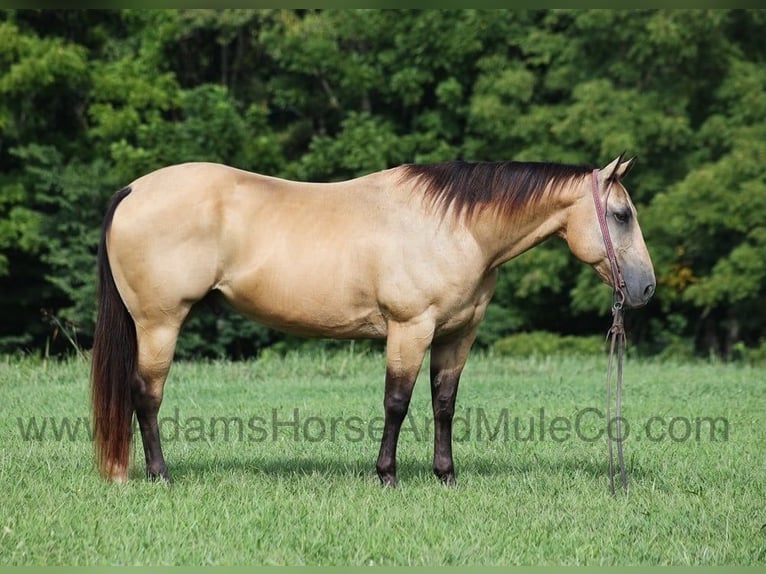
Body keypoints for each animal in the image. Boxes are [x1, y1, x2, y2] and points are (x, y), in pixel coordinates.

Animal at [91, 154, 655, 485]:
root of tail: (134, 190)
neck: (453, 227)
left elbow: (444, 404)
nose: (646, 287)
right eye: (622, 215)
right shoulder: (410, 328)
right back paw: (159, 475)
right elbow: (397, 403)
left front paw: (445, 476)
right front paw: (387, 475)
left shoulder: (457, 335)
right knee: (146, 394)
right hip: (160, 323)